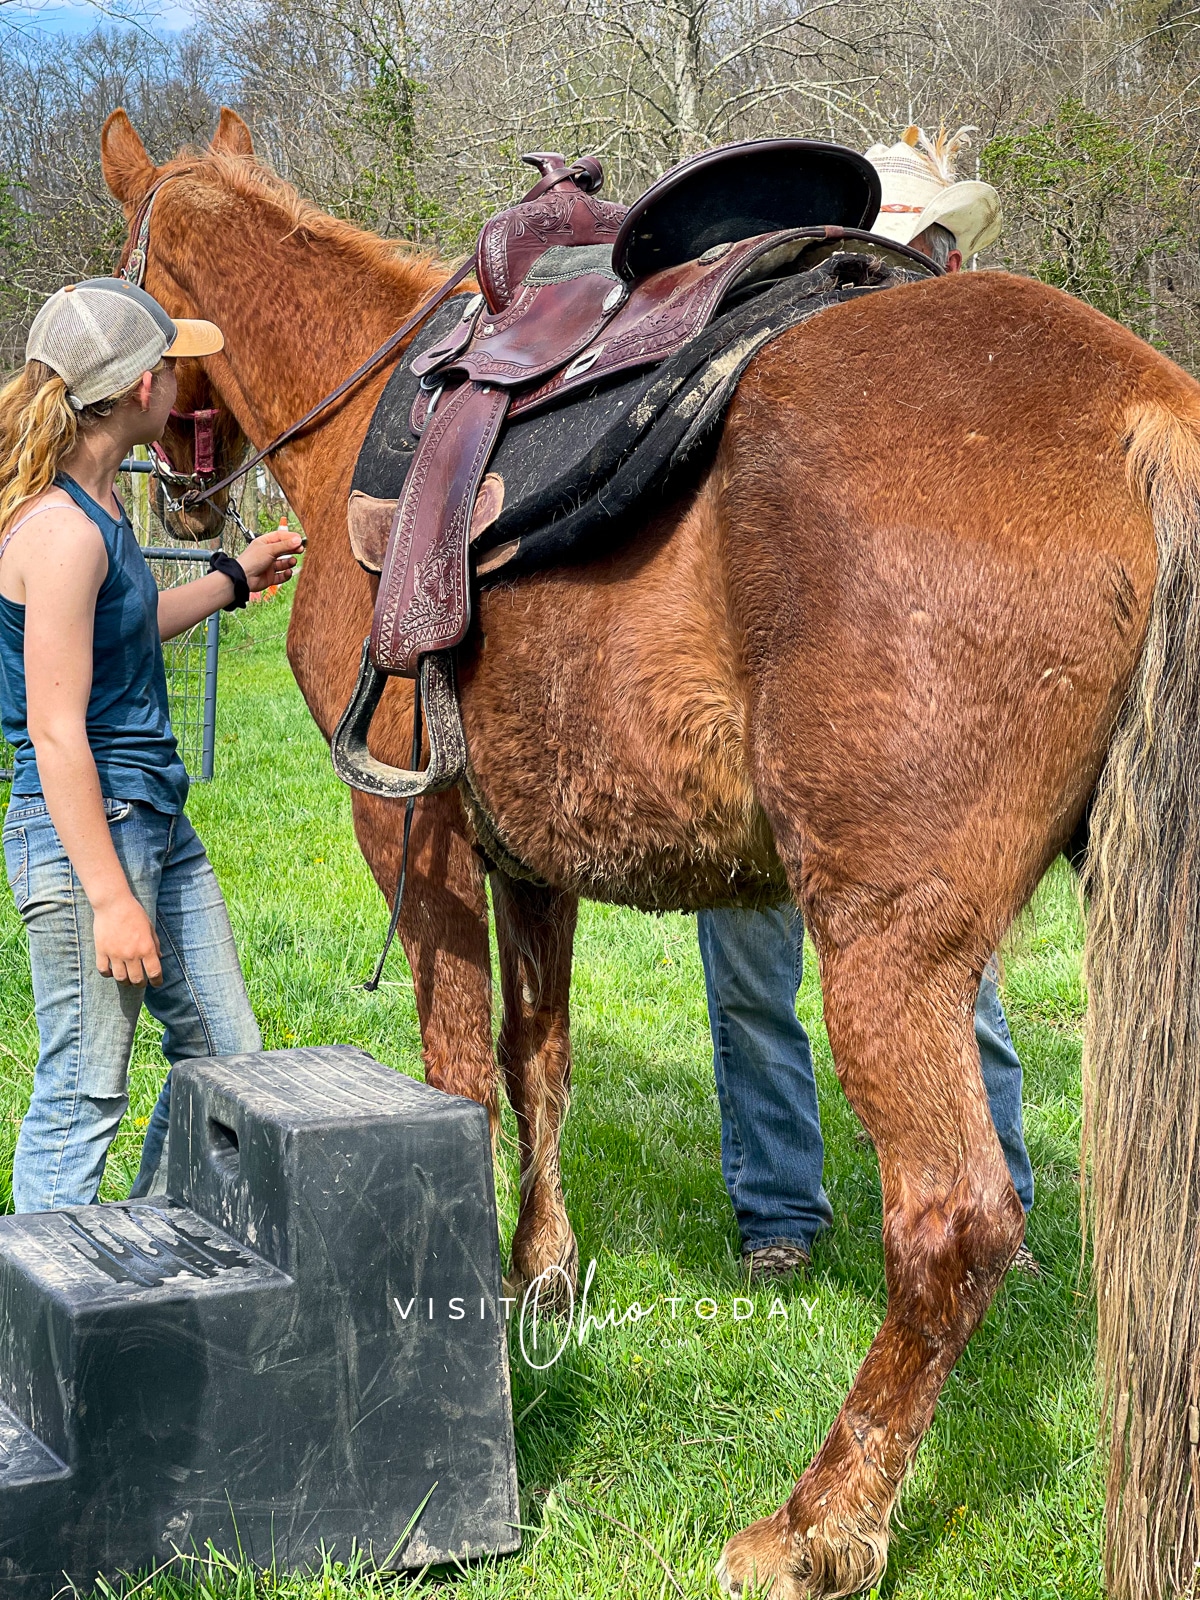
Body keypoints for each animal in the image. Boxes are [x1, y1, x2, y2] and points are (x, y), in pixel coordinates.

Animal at [101, 109, 1200, 1600]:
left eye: (130, 276)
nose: (185, 499)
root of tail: (1143, 410)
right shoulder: (531, 860)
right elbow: (540, 1064)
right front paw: (539, 1273)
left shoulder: (413, 842)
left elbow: (460, 1080)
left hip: (885, 944)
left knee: (955, 1225)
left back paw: (819, 1525)